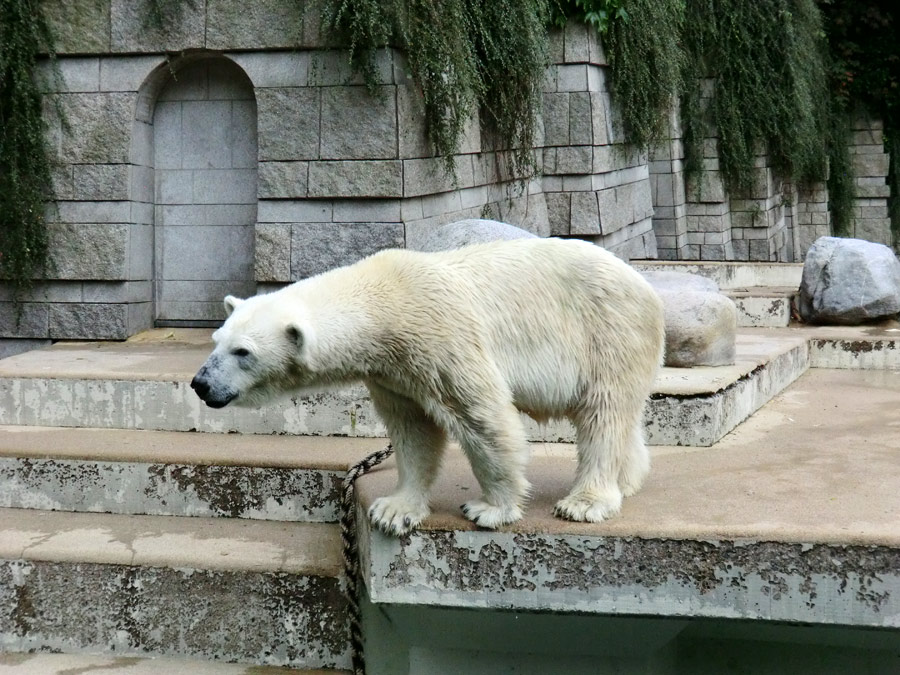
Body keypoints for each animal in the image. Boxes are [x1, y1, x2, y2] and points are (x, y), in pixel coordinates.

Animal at [192, 240, 668, 536]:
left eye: (243, 351)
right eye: (217, 340)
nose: (200, 383)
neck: (383, 300)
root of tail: (645, 285)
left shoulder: (442, 339)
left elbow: (484, 419)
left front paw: (490, 508)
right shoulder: (393, 373)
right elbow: (413, 431)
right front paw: (394, 510)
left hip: (608, 330)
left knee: (603, 412)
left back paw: (584, 502)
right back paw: (627, 481)